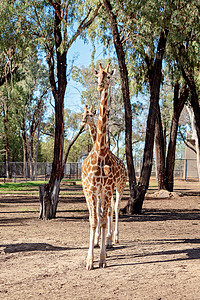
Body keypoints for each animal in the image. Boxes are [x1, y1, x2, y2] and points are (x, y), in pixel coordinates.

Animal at [81, 104, 126, 247]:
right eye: (83, 114)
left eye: (90, 115)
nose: (83, 121)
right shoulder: (98, 189)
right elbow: (100, 212)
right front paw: (97, 239)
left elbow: (104, 211)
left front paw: (104, 238)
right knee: (110, 208)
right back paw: (108, 237)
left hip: (120, 185)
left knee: (116, 207)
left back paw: (115, 237)